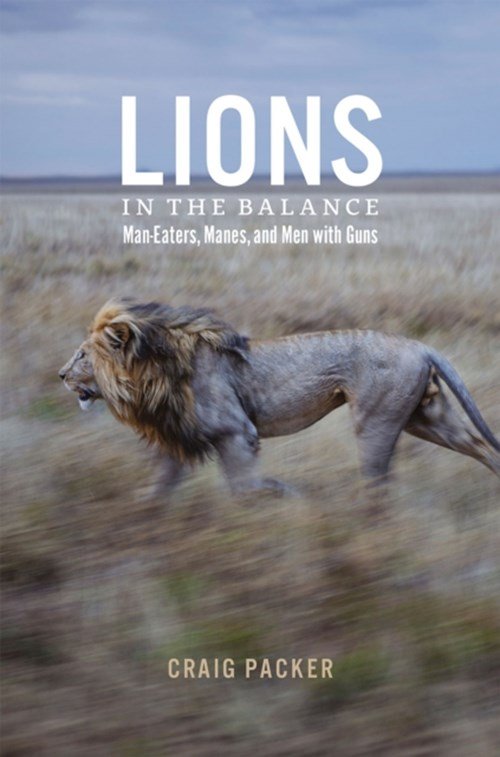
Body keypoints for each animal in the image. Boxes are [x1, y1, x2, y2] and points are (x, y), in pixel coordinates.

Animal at [59, 298, 500, 497]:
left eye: (82, 355)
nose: (61, 375)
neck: (150, 374)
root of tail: (420, 345)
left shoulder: (235, 432)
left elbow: (245, 488)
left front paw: (287, 497)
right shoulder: (178, 439)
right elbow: (158, 491)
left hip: (377, 421)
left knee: (377, 481)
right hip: (425, 417)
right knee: (481, 447)